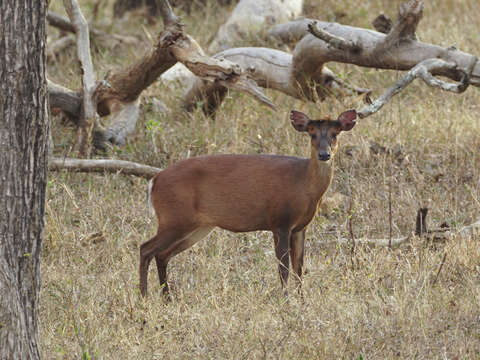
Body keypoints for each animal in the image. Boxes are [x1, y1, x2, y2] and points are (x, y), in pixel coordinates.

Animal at [140, 108, 356, 296]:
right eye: (312, 134)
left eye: (335, 133)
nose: (324, 154)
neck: (303, 184)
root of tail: (154, 181)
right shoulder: (280, 222)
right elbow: (284, 269)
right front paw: (286, 300)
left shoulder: (301, 227)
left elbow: (299, 268)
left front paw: (301, 300)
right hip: (175, 218)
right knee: (146, 248)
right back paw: (144, 296)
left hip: (196, 226)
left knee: (162, 254)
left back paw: (166, 298)